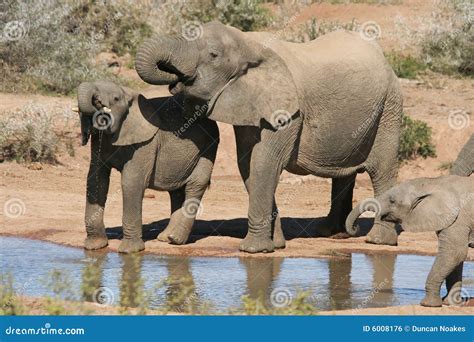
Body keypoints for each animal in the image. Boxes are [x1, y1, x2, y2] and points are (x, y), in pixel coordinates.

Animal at [75, 81, 219, 254]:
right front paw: (94, 246)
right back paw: (165, 238)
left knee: (195, 185)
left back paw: (176, 239)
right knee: (176, 190)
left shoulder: (146, 143)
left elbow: (131, 183)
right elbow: (96, 179)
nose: (96, 102)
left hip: (209, 147)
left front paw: (129, 251)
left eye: (115, 99)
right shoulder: (99, 142)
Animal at [135, 20, 402, 251]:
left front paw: (253, 250)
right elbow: (248, 165)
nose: (175, 79)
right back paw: (332, 233)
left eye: (213, 55)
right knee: (344, 172)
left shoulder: (289, 112)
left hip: (389, 108)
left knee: (382, 171)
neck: (248, 42)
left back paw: (378, 241)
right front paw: (276, 245)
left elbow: (265, 162)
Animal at [344, 176, 474, 308]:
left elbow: (454, 253)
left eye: (392, 201)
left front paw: (428, 304)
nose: (355, 227)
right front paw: (451, 303)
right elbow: (456, 259)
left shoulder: (458, 220)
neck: (433, 182)